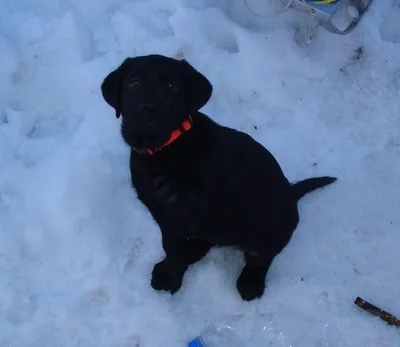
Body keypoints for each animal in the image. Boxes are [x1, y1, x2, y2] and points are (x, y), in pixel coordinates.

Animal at [101, 54, 338, 302]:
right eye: (133, 82)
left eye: (172, 86)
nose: (149, 108)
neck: (163, 148)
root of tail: (291, 195)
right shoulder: (163, 213)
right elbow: (171, 245)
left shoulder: (186, 211)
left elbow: (174, 248)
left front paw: (170, 278)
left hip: (267, 230)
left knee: (261, 258)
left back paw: (250, 282)